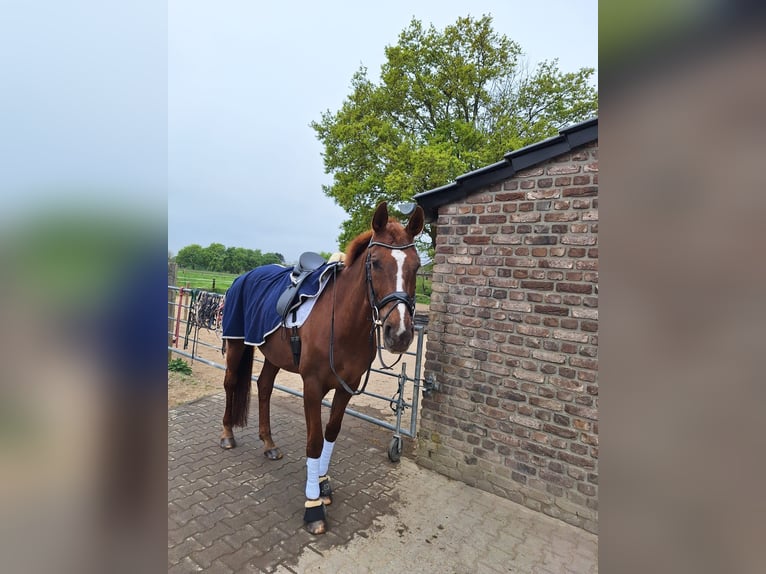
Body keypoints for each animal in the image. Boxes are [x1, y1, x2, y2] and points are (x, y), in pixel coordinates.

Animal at [219, 201, 424, 534]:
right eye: (375, 263)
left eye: (416, 266)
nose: (400, 334)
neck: (341, 322)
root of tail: (244, 276)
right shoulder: (313, 387)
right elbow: (314, 441)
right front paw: (313, 505)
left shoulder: (346, 387)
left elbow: (331, 432)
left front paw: (323, 483)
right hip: (236, 344)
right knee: (230, 383)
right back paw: (227, 435)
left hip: (273, 356)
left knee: (264, 387)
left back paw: (269, 443)